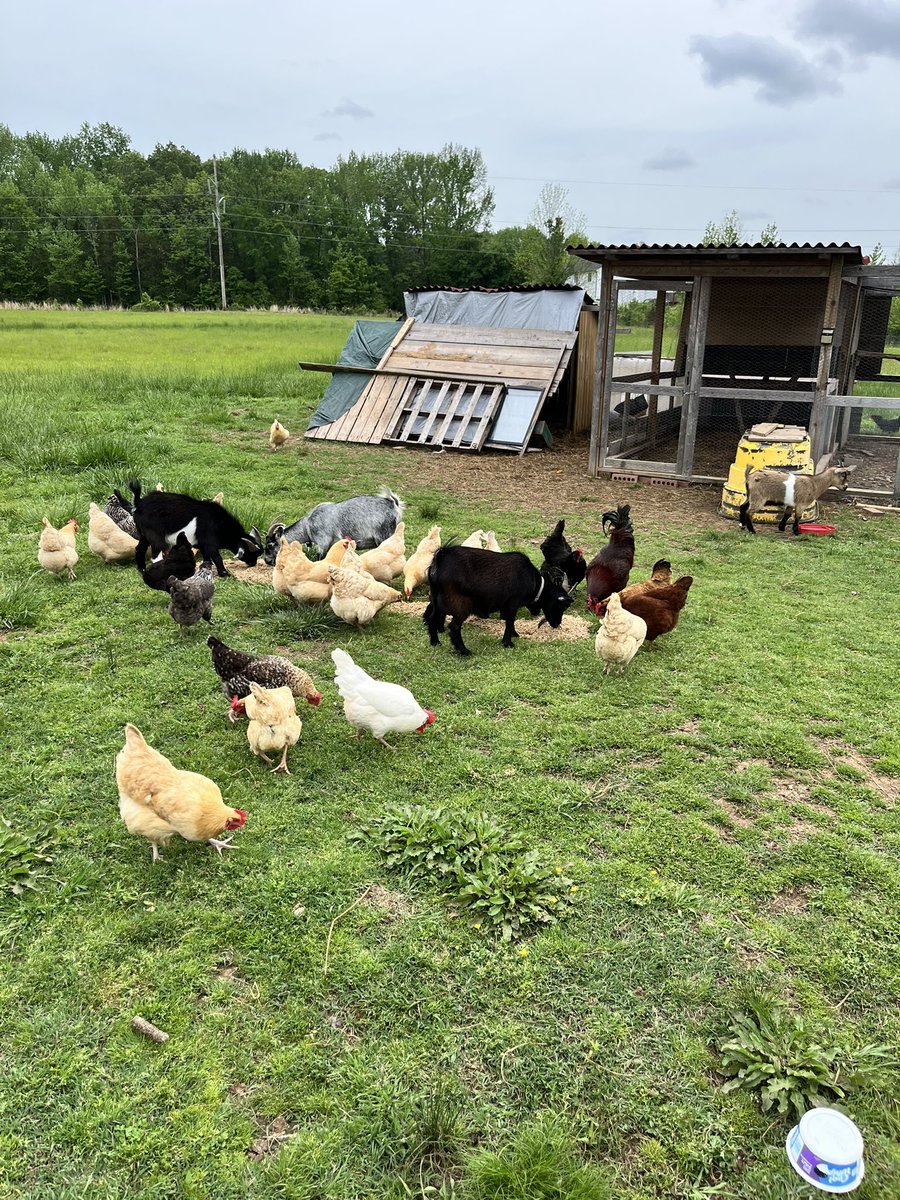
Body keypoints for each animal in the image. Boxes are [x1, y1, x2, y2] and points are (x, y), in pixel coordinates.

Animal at [128, 481, 263, 577]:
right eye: (251, 553)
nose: (253, 564)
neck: (219, 523)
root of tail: (139, 503)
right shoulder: (210, 541)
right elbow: (216, 557)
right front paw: (224, 574)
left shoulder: (202, 544)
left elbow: (207, 557)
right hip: (155, 534)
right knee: (156, 555)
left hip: (144, 534)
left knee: (139, 549)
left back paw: (142, 569)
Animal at [263, 488, 404, 564]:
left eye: (270, 545)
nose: (267, 560)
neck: (308, 526)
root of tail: (393, 505)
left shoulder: (323, 543)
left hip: (384, 535)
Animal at [424, 545, 573, 656]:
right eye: (562, 606)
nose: (556, 624)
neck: (534, 582)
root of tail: (441, 559)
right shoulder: (513, 603)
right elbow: (510, 621)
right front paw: (508, 643)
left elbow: (510, 622)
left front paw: (515, 634)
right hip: (461, 605)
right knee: (454, 627)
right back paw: (464, 651)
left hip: (437, 601)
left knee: (432, 619)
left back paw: (435, 642)